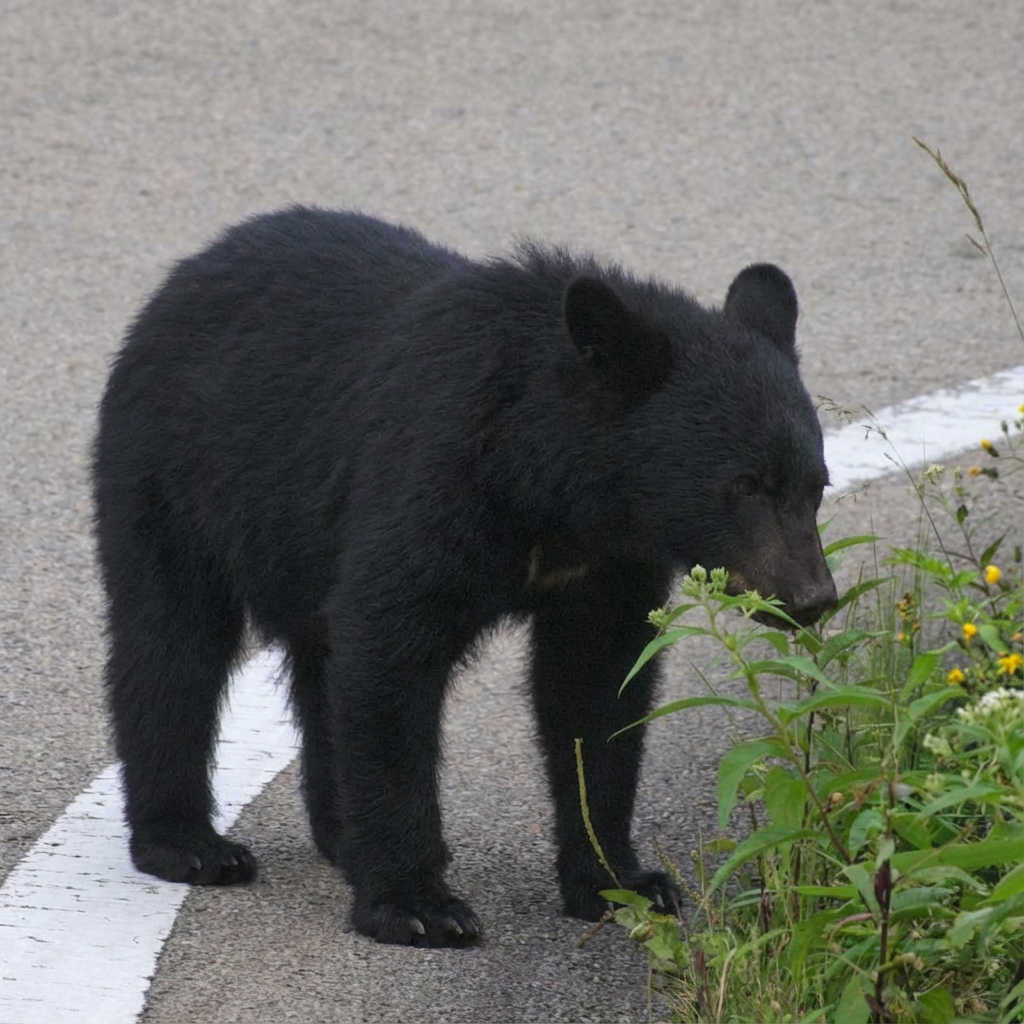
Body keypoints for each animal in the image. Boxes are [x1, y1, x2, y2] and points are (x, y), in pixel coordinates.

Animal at [92, 207, 837, 947]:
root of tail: (187, 271)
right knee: (172, 647)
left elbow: (596, 691)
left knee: (315, 664)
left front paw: (621, 882)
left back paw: (338, 834)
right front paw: (417, 904)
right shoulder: (434, 480)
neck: (552, 486)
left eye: (816, 484)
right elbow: (390, 656)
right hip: (171, 475)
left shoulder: (608, 565)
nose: (812, 597)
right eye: (743, 484)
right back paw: (189, 844)